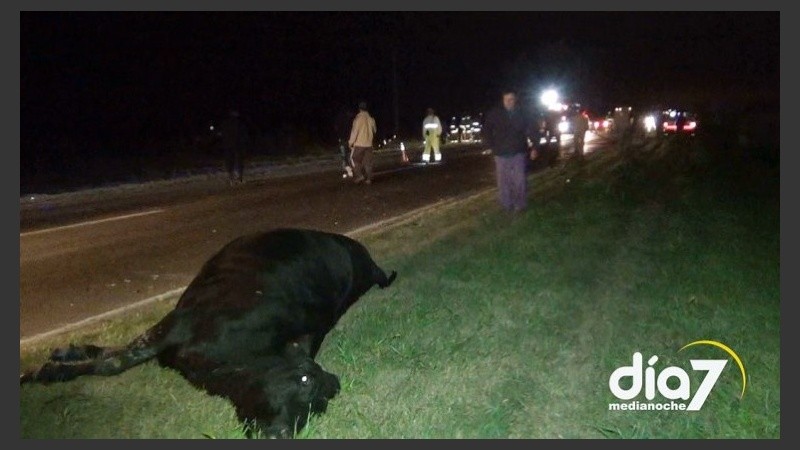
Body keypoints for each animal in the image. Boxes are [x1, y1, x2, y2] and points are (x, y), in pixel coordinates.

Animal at [23, 227, 398, 438]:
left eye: (320, 407)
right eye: (305, 381)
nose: (284, 434)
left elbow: (116, 356)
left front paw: (57, 365)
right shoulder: (177, 323)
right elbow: (114, 361)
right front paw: (50, 370)